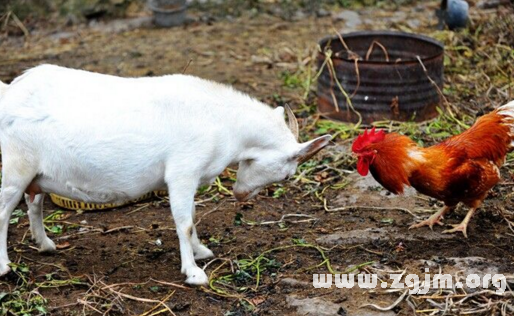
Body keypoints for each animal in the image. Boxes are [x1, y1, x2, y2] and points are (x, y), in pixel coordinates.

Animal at [0, 64, 330, 284]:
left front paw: (200, 251)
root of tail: (10, 90)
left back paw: (45, 245)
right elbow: (184, 223)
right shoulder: (182, 172)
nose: (240, 195)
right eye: (287, 176)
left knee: (33, 202)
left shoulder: (191, 179)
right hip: (17, 166)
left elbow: (192, 216)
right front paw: (194, 273)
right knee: (4, 212)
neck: (223, 123)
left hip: (37, 173)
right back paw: (4, 267)